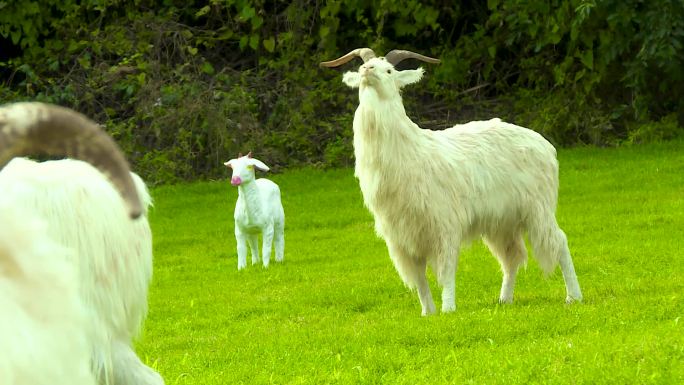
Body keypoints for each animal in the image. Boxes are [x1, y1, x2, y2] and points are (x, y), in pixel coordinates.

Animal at [322, 48, 584, 314]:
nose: (367, 71)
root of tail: (546, 145)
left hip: (538, 209)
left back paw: (573, 296)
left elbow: (447, 268)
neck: (411, 151)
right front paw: (428, 312)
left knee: (560, 242)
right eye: (363, 67)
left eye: (389, 71)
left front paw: (448, 309)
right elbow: (420, 278)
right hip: (501, 221)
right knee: (513, 256)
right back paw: (505, 299)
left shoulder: (445, 224)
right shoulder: (403, 237)